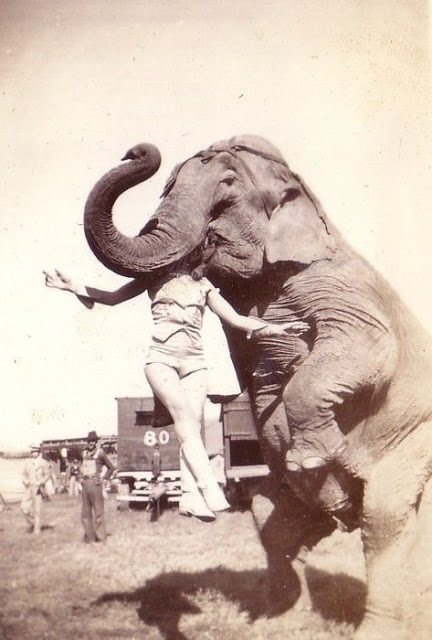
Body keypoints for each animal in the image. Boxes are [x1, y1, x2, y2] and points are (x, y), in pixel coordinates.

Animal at [82, 136, 432, 640]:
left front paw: (312, 455)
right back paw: (279, 620)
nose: (136, 151)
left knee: (382, 522)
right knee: (274, 520)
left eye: (227, 188)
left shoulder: (343, 288)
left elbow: (368, 348)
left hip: (412, 447)